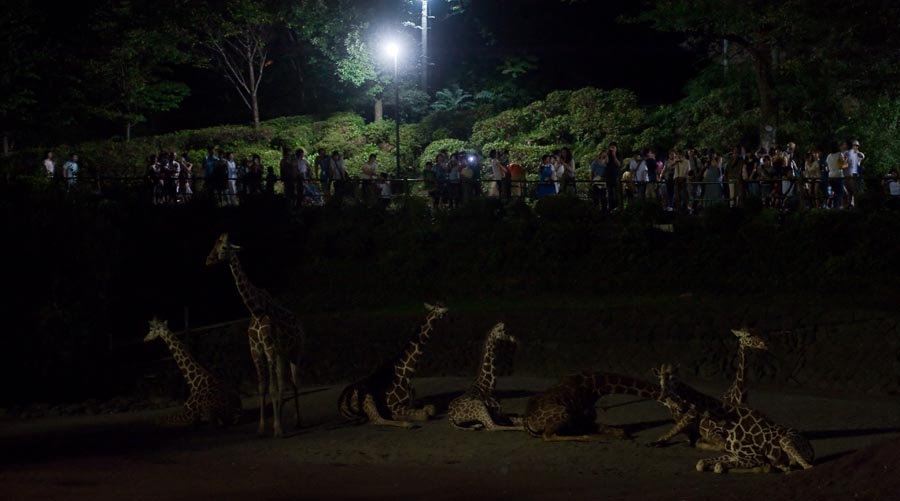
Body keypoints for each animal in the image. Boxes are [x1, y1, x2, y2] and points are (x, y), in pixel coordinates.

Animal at [205, 232, 306, 436]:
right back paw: (283, 417)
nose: (208, 260)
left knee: (295, 381)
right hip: (283, 354)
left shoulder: (269, 349)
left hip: (296, 351)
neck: (255, 310)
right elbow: (263, 388)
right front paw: (262, 429)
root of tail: (299, 322)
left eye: (224, 247)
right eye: (214, 245)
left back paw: (297, 422)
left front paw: (278, 429)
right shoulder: (257, 351)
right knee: (284, 383)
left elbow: (272, 388)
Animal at [520, 370, 660, 440]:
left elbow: (613, 429)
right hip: (564, 413)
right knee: (548, 436)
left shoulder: (584, 417)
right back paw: (588, 437)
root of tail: (526, 420)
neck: (597, 386)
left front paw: (620, 433)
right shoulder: (581, 416)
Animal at [652, 364, 816, 472]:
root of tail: (811, 449)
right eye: (659, 380)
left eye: (673, 379)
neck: (731, 420)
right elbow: (703, 463)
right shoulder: (733, 454)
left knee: (808, 467)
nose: (662, 396)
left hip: (786, 441)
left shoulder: (754, 456)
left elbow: (719, 466)